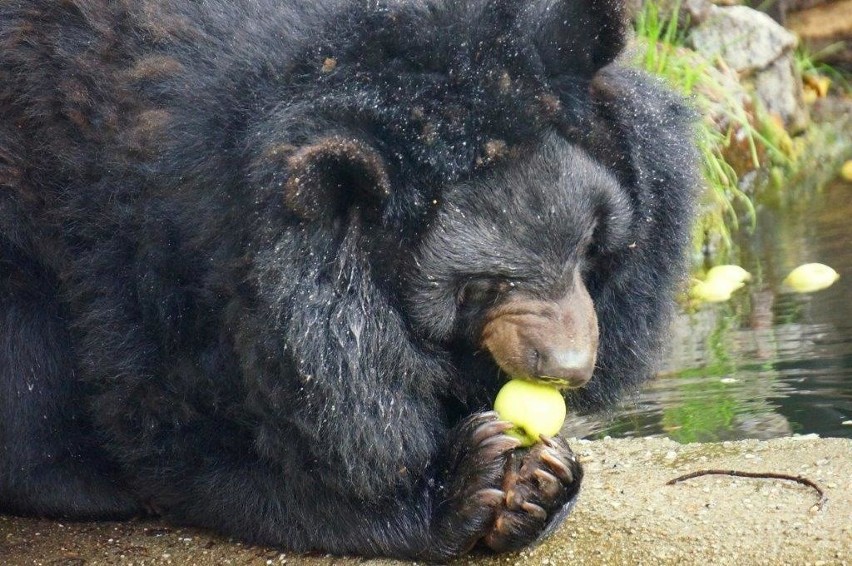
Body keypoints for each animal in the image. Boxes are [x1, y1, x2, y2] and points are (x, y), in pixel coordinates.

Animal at [0, 0, 696, 560]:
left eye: (586, 243)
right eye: (482, 283)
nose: (569, 368)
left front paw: (538, 482)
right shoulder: (148, 239)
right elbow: (178, 421)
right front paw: (457, 486)